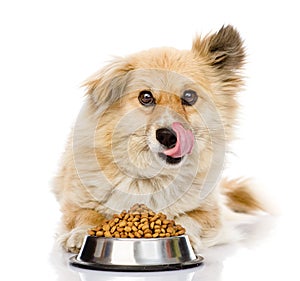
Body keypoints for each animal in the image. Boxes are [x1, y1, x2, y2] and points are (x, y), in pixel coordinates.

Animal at [52, 25, 264, 252]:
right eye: (146, 97)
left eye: (189, 96)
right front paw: (79, 233)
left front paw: (187, 237)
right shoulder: (77, 204)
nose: (168, 136)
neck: (154, 176)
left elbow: (189, 218)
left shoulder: (209, 214)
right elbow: (87, 216)